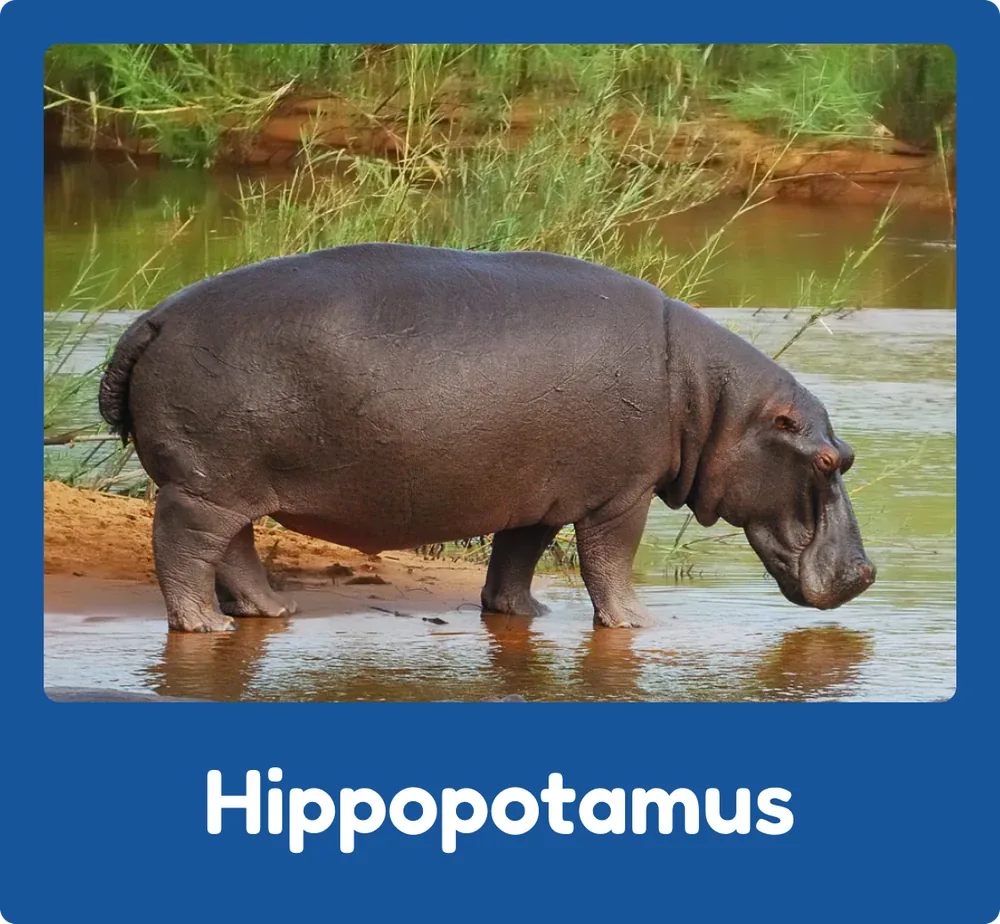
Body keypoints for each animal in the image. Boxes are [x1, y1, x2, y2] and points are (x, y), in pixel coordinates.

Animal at [98, 243, 875, 632]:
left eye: (850, 455)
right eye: (827, 459)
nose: (867, 574)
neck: (714, 404)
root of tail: (153, 318)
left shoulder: (540, 494)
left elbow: (517, 557)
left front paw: (525, 613)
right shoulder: (619, 497)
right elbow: (610, 562)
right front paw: (637, 625)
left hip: (230, 482)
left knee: (233, 550)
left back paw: (271, 611)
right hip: (205, 486)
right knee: (183, 547)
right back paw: (204, 628)